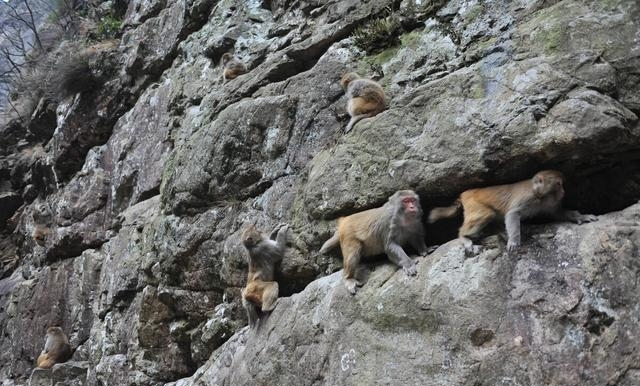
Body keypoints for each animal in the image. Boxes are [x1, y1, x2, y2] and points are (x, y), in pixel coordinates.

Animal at [428, 170, 596, 255]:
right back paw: (464, 237)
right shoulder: (527, 198)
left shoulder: (548, 204)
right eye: (559, 184)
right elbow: (512, 214)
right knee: (486, 214)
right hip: (474, 204)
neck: (538, 196)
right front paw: (514, 241)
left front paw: (581, 216)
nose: (563, 192)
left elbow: (557, 213)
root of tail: (465, 193)